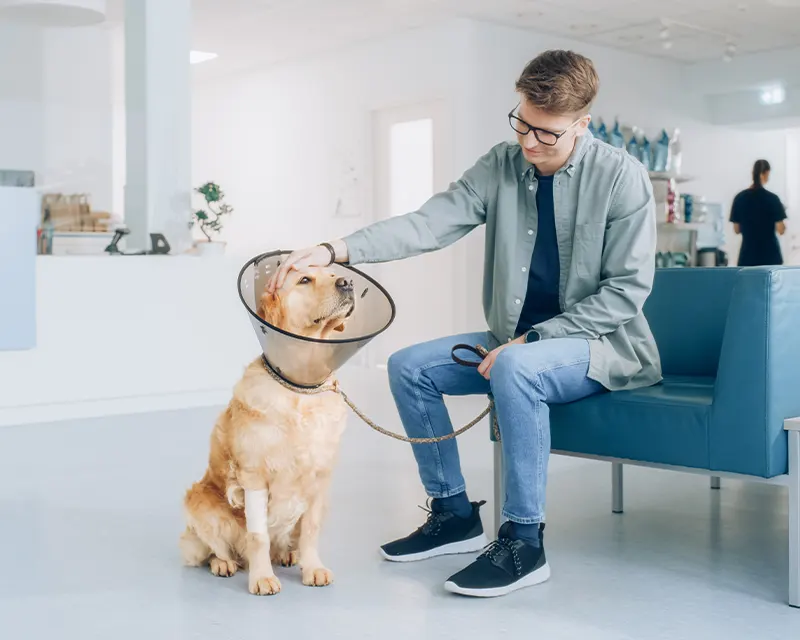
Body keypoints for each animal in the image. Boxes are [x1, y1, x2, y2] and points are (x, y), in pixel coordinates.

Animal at [183, 266, 358, 596]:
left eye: (332, 273)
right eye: (304, 279)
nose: (348, 282)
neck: (300, 388)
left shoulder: (319, 477)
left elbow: (311, 530)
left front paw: (313, 568)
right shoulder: (254, 476)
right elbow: (258, 535)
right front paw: (262, 577)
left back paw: (288, 555)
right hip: (199, 502)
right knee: (214, 548)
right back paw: (223, 563)